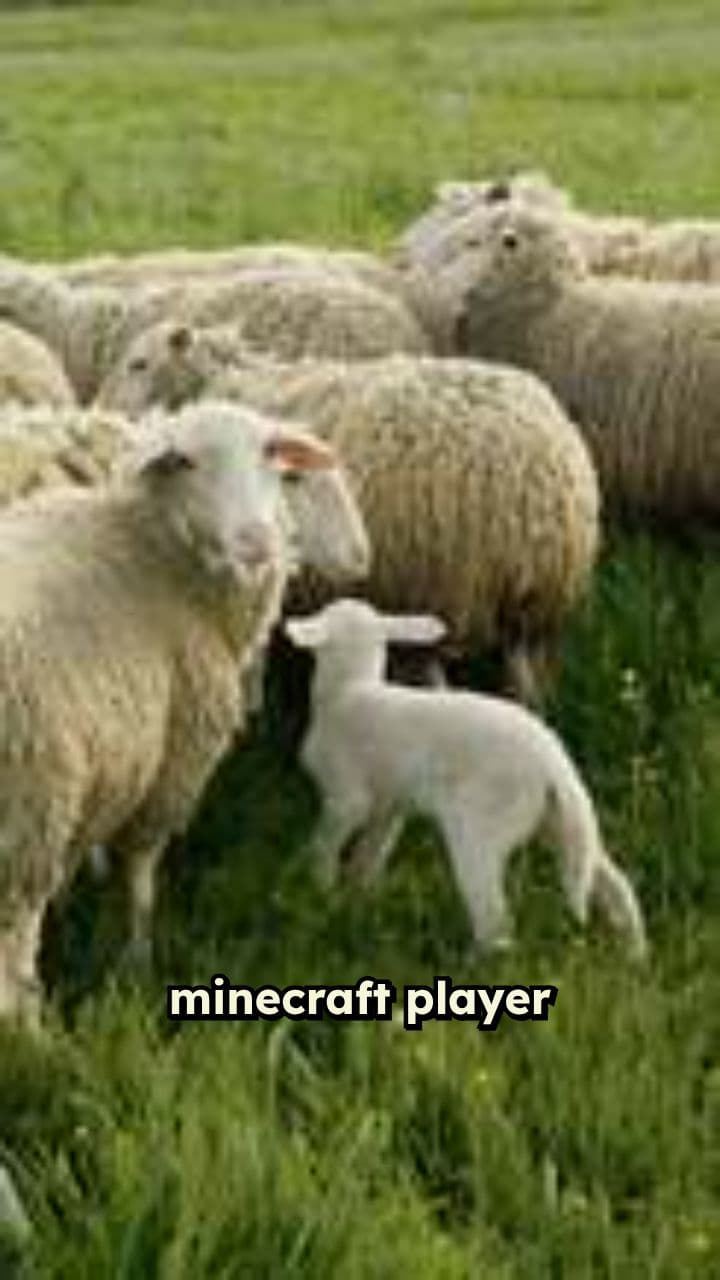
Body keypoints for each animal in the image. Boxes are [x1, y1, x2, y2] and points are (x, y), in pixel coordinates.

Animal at [0, 400, 368, 1023]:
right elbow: (141, 869)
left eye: (271, 456)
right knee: (16, 944)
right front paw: (137, 960)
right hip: (30, 808)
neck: (156, 550)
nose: (256, 542)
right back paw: (32, 1032)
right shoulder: (178, 753)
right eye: (187, 461)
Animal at [98, 326, 600, 700]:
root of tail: (527, 473)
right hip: (534, 611)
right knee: (526, 692)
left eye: (138, 362)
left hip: (434, 593)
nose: (103, 408)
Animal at [286, 598, 647, 957]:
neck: (347, 690)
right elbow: (372, 852)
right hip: (561, 822)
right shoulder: (390, 803)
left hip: (482, 829)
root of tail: (554, 765)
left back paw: (471, 960)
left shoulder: (346, 794)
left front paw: (319, 890)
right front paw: (358, 898)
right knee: (616, 883)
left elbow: (325, 844)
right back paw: (635, 951)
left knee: (495, 919)